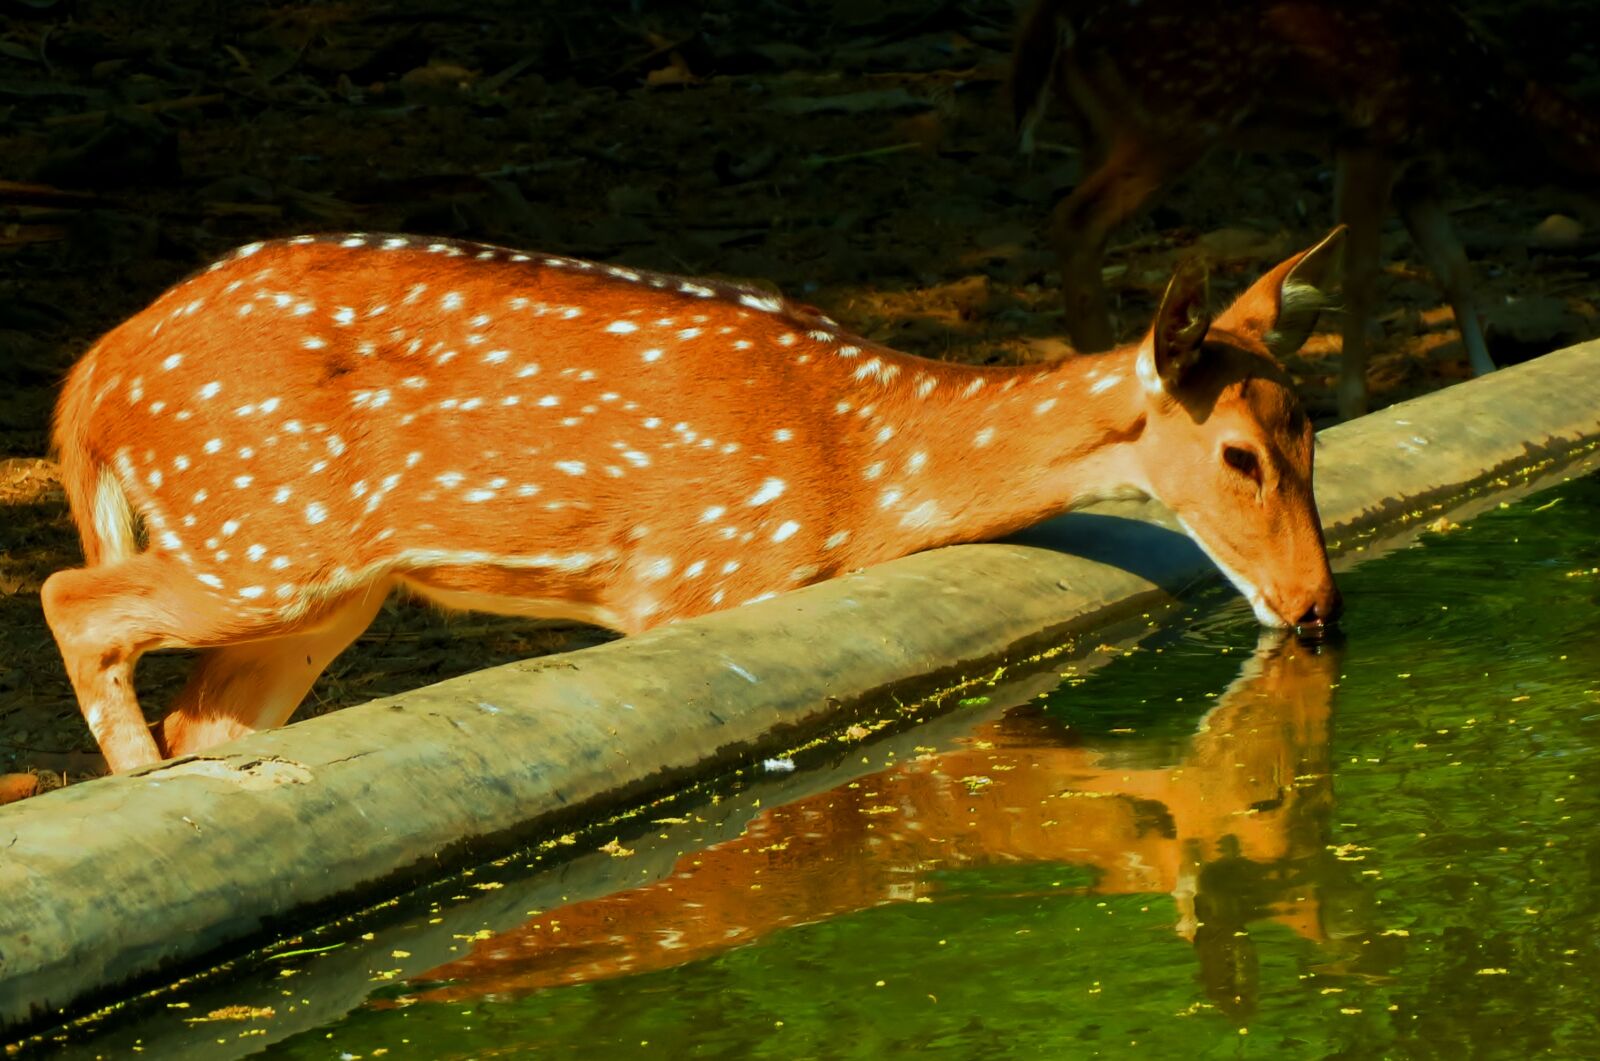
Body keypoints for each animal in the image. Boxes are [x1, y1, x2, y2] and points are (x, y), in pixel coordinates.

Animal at [40, 229, 1343, 777]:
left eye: (1312, 428)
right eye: (1239, 454)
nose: (1316, 605)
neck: (863, 467)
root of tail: (94, 372)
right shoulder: (700, 580)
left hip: (318, 588)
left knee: (211, 721)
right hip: (258, 528)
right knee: (69, 592)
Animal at [1011, 0, 1600, 418]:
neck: (1482, 103)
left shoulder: (1419, 170)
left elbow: (1454, 266)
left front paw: (1487, 372)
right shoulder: (1371, 139)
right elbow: (1361, 275)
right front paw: (1353, 402)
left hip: (1100, 125)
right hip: (1175, 116)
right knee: (1074, 220)